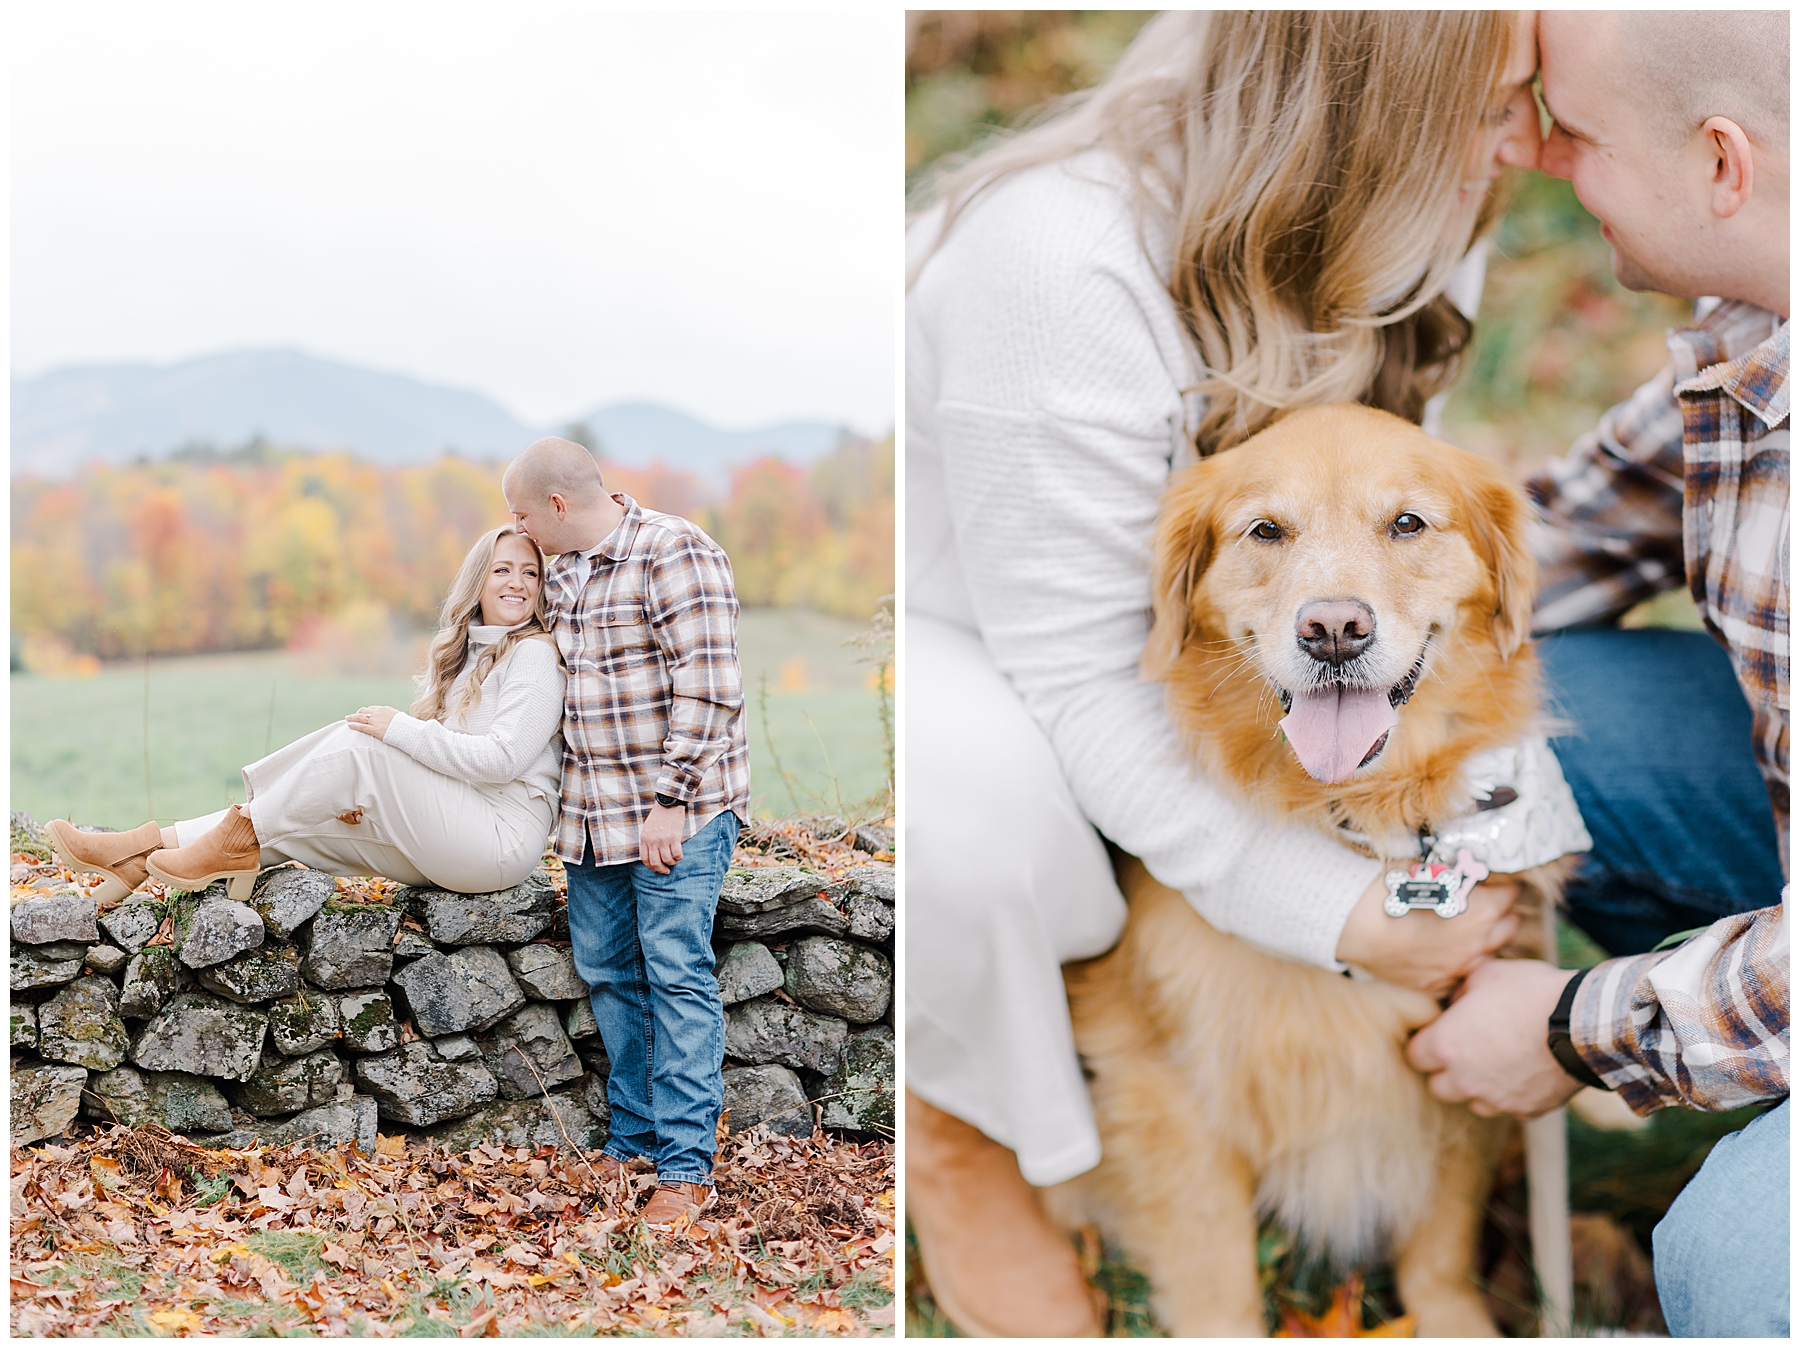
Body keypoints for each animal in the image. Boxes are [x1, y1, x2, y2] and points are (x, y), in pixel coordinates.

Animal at [1051, 403, 1562, 1339]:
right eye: (1266, 530)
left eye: (1408, 523)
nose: (1333, 630)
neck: (1359, 807)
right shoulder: (1173, 1088)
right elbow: (1216, 1275)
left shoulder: (1457, 1064)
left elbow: (1441, 1241)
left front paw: (1456, 1320)